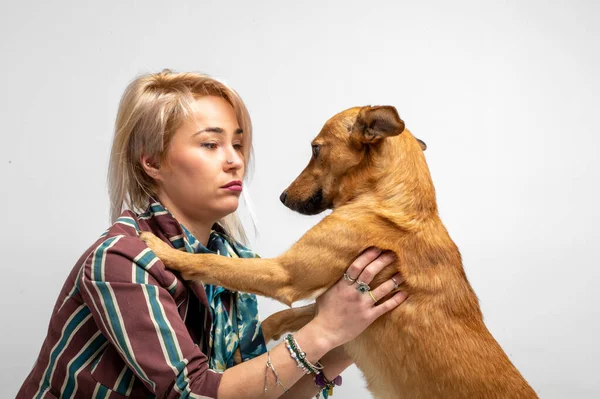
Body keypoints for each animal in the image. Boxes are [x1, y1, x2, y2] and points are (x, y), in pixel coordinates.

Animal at [142, 107, 540, 399]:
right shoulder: (329, 294)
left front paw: (161, 248)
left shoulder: (284, 274)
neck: (394, 203)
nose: (281, 197)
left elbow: (213, 262)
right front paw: (256, 342)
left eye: (315, 149)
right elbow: (293, 316)